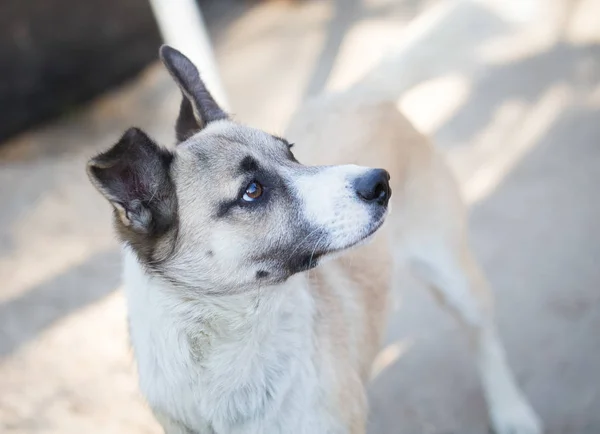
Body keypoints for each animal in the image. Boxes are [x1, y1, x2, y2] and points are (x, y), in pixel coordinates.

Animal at [85, 45, 544, 432]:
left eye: (290, 151)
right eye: (252, 190)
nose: (380, 183)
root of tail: (359, 92)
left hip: (454, 277)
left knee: (484, 340)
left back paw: (512, 413)